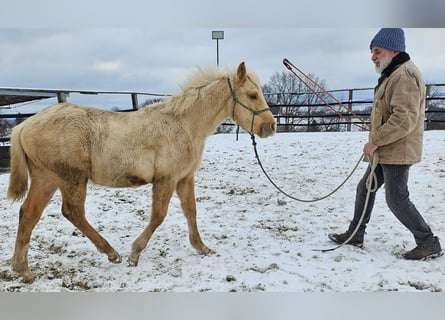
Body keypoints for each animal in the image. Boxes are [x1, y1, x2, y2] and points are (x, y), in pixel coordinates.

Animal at [7, 61, 274, 282]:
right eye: (252, 95)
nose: (270, 126)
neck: (183, 125)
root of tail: (24, 126)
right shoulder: (165, 180)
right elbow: (158, 216)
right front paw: (134, 255)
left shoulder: (184, 178)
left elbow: (191, 211)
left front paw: (202, 247)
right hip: (72, 180)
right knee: (72, 212)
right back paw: (111, 253)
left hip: (46, 179)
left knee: (28, 214)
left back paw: (24, 271)